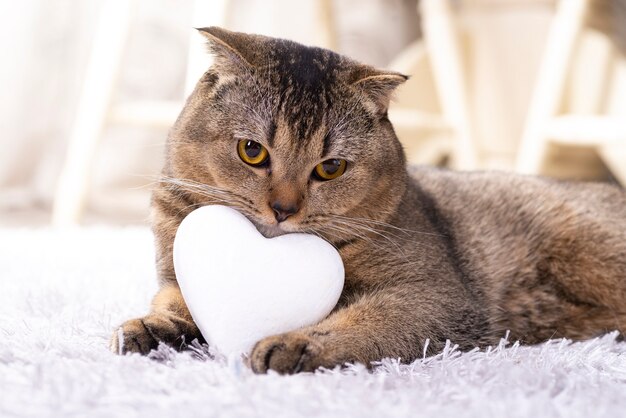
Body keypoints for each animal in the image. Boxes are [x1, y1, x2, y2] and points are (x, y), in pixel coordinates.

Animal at [108, 26, 624, 374]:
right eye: (251, 151)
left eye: (330, 167)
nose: (284, 209)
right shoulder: (174, 273)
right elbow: (172, 303)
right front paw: (148, 329)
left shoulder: (438, 295)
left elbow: (367, 321)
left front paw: (297, 344)